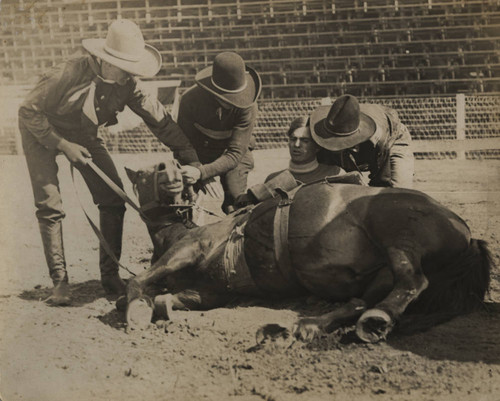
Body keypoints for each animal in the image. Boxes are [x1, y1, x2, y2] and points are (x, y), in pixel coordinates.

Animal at [122, 159, 492, 340]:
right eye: (143, 173)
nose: (170, 171)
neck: (176, 231)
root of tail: (466, 232)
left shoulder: (190, 250)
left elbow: (137, 283)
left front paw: (135, 310)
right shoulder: (211, 292)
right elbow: (167, 299)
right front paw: (158, 308)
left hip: (397, 236)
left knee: (412, 281)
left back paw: (377, 319)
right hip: (380, 274)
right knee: (358, 302)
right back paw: (308, 325)